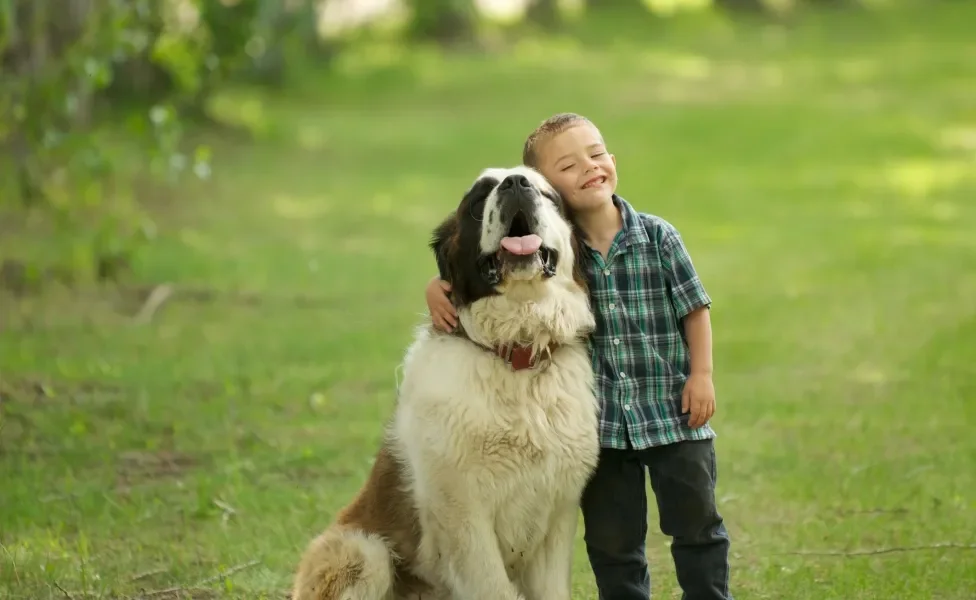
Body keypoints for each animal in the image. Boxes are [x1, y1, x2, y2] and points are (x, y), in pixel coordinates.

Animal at [290, 165, 600, 600]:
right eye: (479, 199)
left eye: (546, 193)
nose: (515, 184)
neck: (515, 355)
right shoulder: (463, 515)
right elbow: (492, 586)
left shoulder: (558, 512)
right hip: (361, 551)